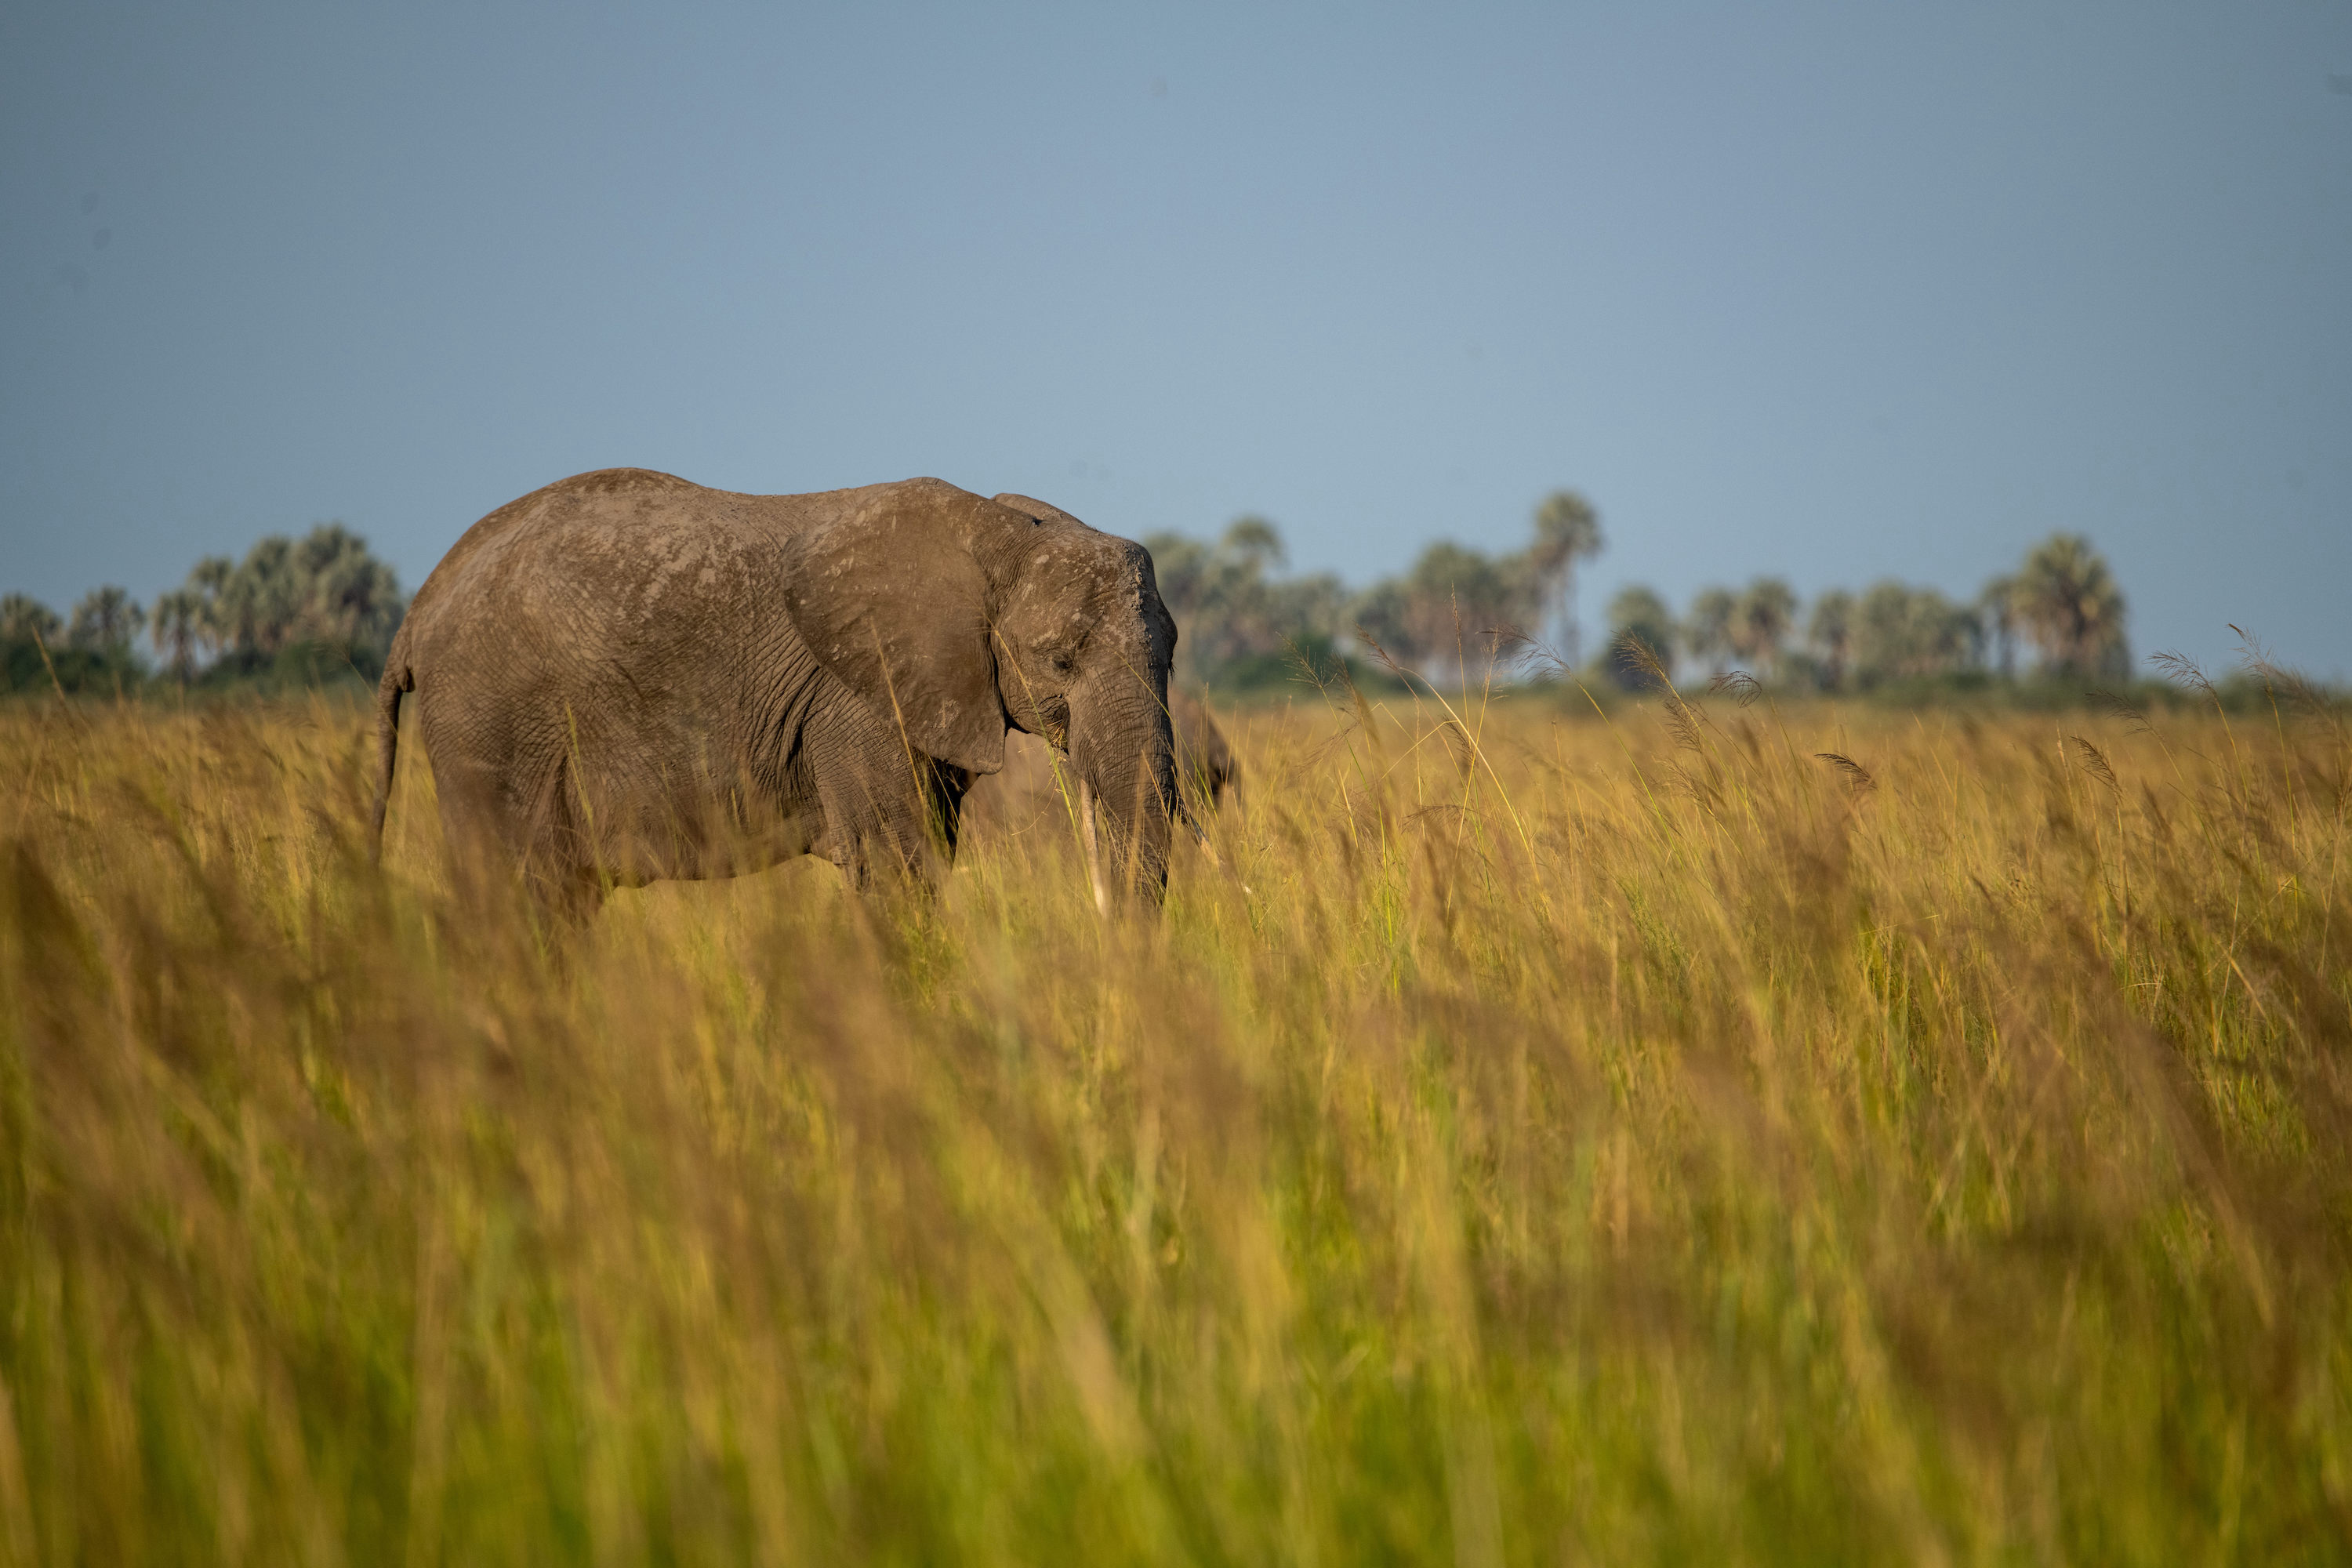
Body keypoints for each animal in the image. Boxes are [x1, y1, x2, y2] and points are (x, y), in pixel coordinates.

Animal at [368, 468, 1179, 917]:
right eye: (1059, 661)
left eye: (1170, 660)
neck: (1002, 530)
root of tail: (419, 608)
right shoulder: (861, 701)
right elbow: (897, 870)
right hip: (493, 726)